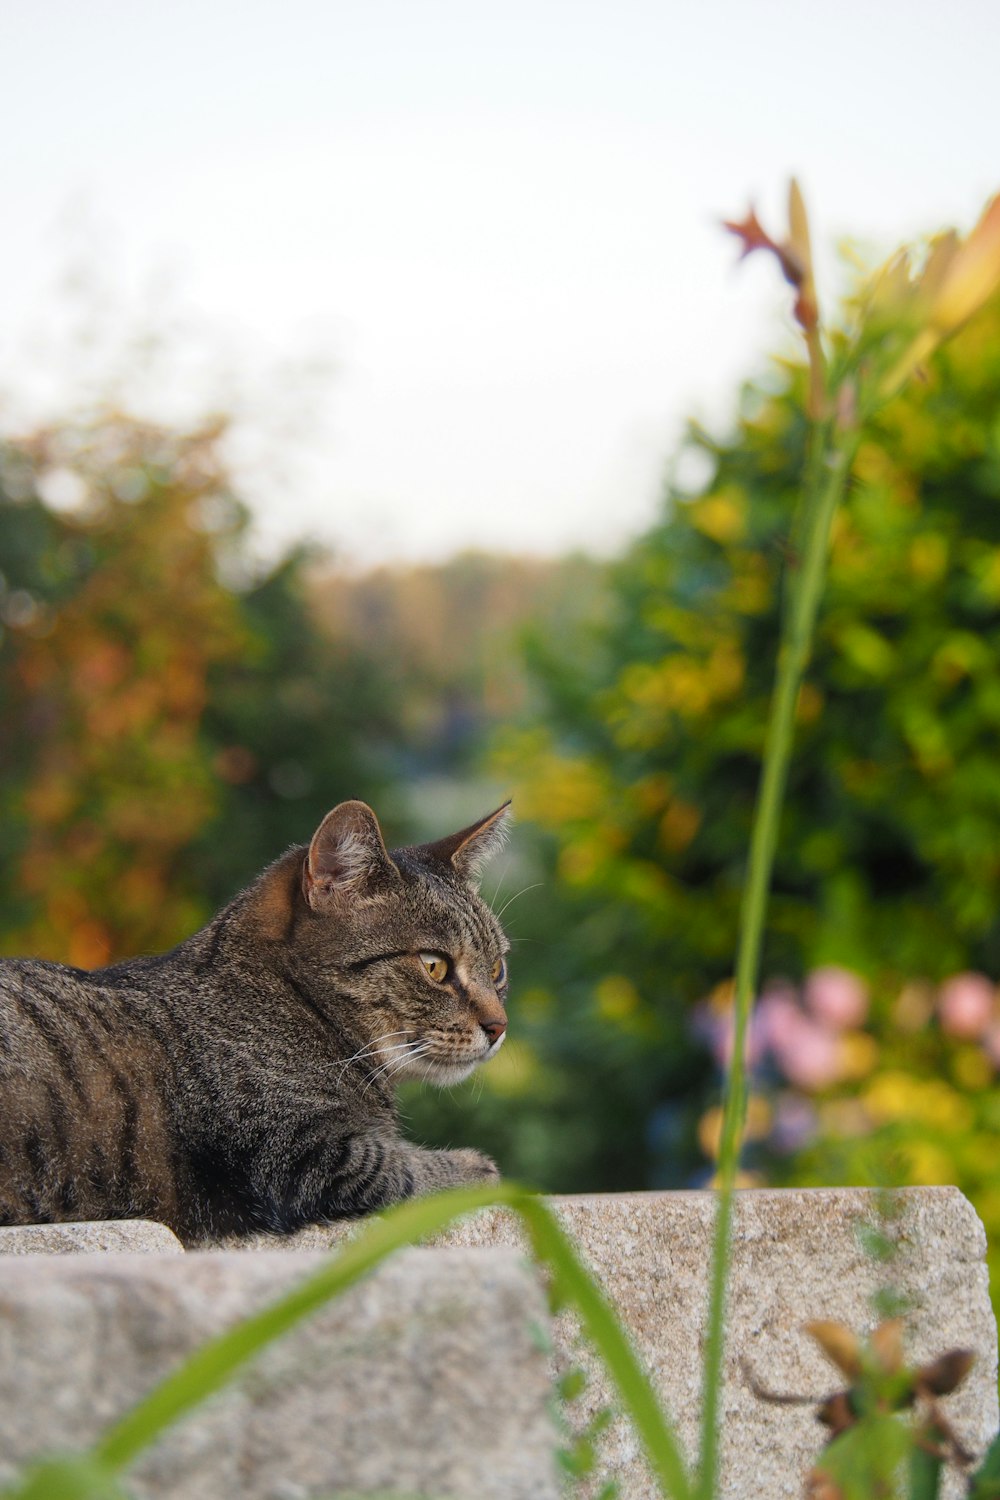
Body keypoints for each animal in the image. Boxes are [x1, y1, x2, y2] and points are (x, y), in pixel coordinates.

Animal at [0, 798, 512, 1242]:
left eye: (497, 969)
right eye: (434, 966)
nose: (499, 1026)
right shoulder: (298, 1156)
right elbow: (405, 1170)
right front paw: (477, 1167)